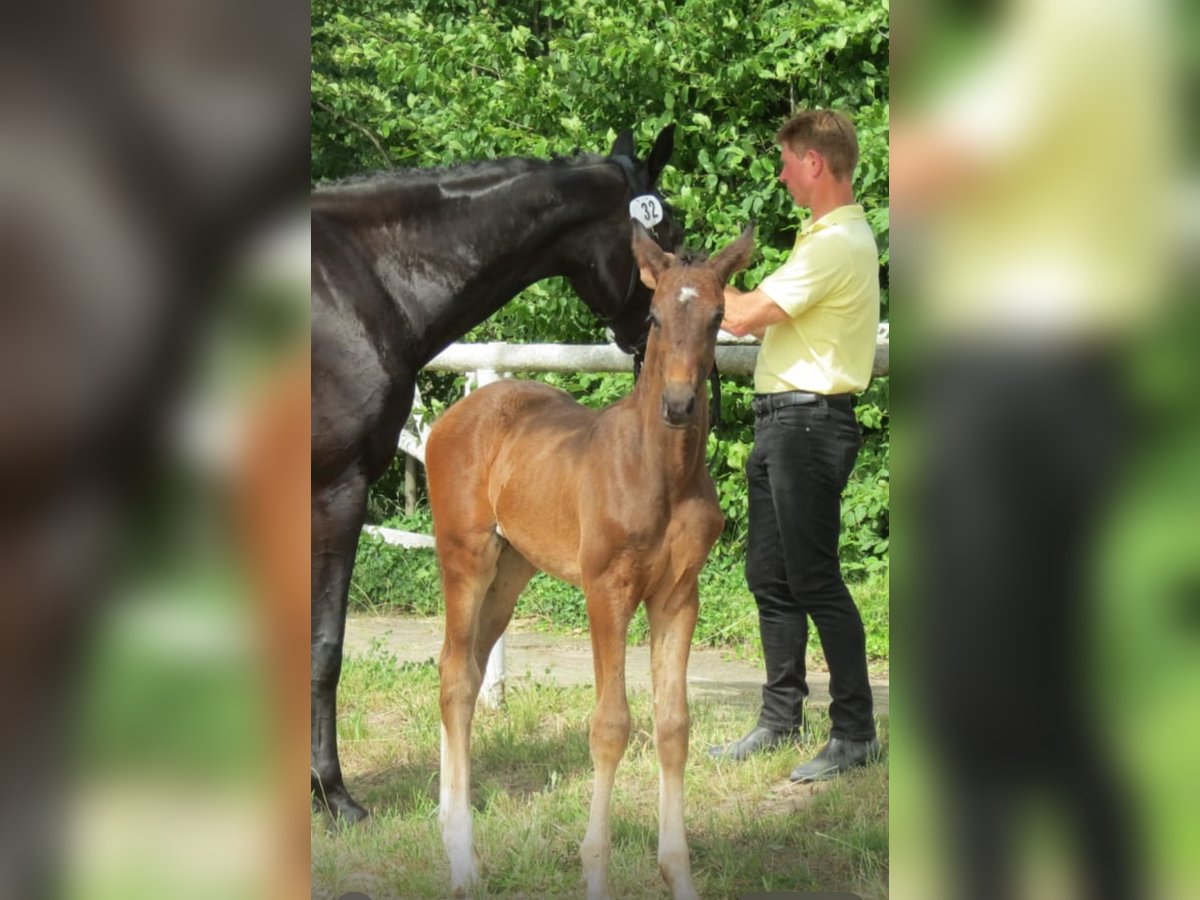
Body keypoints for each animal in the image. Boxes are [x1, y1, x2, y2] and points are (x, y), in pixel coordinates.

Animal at [311, 124, 683, 823]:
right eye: (669, 233)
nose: (659, 347)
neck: (360, 283)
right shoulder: (337, 491)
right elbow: (324, 645)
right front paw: (331, 793)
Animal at [425, 222, 756, 899]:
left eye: (717, 317)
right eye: (654, 317)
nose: (679, 405)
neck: (661, 473)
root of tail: (454, 417)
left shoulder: (679, 596)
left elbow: (673, 727)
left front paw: (677, 874)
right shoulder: (607, 591)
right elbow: (610, 727)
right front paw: (595, 868)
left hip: (511, 572)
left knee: (463, 669)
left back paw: (451, 830)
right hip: (466, 557)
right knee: (455, 678)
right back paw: (463, 858)